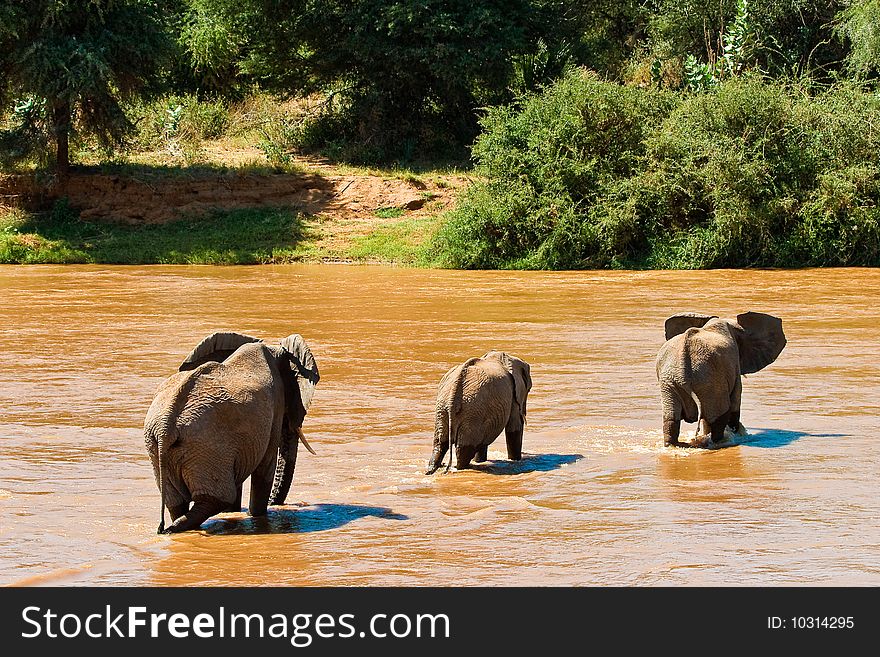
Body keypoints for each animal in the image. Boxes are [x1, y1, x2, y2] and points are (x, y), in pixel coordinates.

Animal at [144, 334, 320, 532]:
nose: (276, 504)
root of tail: (166, 426)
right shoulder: (276, 405)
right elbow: (265, 466)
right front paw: (256, 515)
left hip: (159, 447)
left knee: (175, 502)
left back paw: (172, 528)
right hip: (207, 448)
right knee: (215, 498)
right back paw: (175, 528)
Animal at [656, 312, 788, 446]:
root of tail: (683, 374)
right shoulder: (734, 365)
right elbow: (735, 403)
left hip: (670, 383)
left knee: (671, 420)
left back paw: (672, 444)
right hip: (710, 383)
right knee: (719, 419)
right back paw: (719, 441)